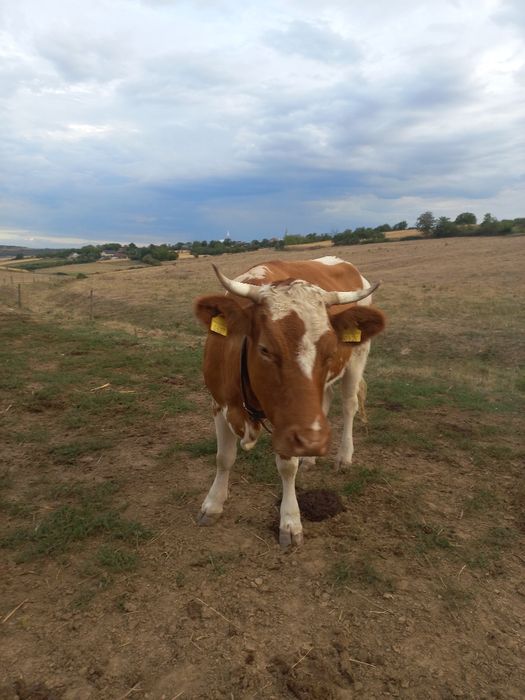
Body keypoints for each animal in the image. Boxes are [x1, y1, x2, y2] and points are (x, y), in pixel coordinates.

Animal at [193, 256, 385, 547]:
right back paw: (310, 459)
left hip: (357, 358)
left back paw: (343, 456)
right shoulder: (218, 402)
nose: (312, 440)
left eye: (330, 351)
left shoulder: (289, 421)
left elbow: (286, 467)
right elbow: (224, 457)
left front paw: (290, 521)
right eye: (265, 349)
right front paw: (213, 504)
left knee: (349, 404)